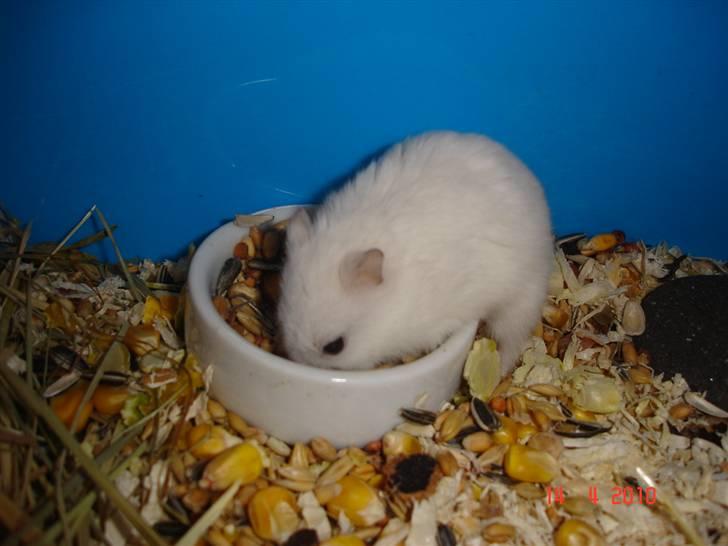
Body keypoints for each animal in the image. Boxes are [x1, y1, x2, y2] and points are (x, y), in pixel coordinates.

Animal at [277, 131, 553, 374]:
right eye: (280, 318)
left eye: (335, 346)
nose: (298, 362)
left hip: (521, 297)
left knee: (512, 338)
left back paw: (500, 372)